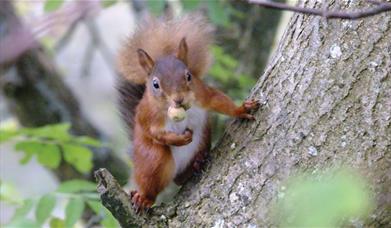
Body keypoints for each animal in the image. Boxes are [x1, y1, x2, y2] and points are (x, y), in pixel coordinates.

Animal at [116, 14, 258, 212]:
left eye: (188, 76)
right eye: (155, 84)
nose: (179, 99)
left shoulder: (203, 94)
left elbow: (220, 102)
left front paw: (242, 109)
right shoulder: (148, 116)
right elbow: (155, 133)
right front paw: (179, 139)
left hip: (203, 138)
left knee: (183, 177)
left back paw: (196, 163)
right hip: (152, 160)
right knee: (156, 180)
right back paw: (144, 198)